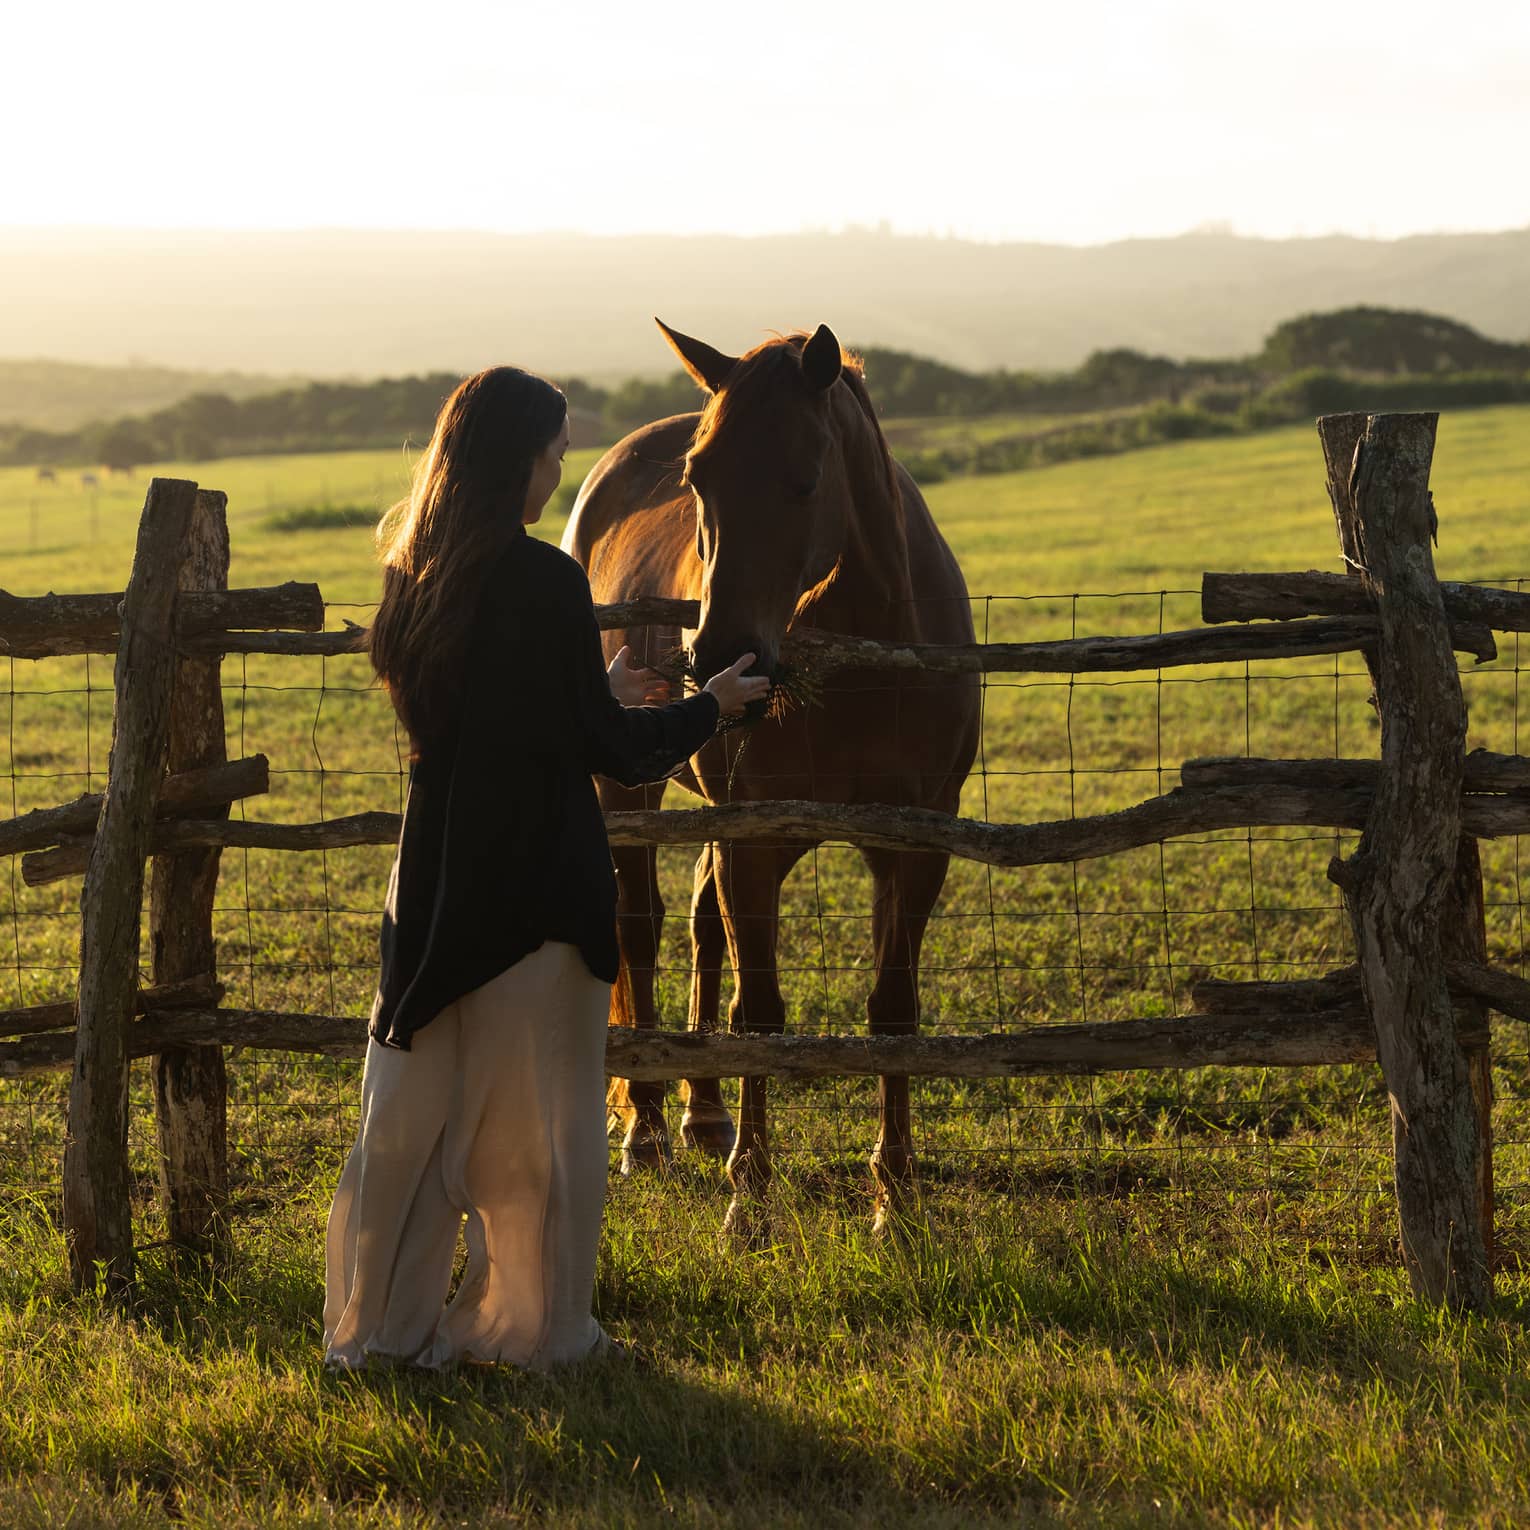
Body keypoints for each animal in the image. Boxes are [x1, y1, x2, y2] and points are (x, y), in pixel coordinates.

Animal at [562, 321, 980, 1235]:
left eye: (805, 477)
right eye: (698, 479)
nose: (721, 657)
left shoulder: (914, 845)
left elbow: (894, 1008)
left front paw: (896, 1195)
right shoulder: (755, 844)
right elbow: (760, 1010)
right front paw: (750, 1198)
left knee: (697, 928)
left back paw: (704, 1113)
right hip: (633, 794)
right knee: (639, 931)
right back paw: (648, 1127)